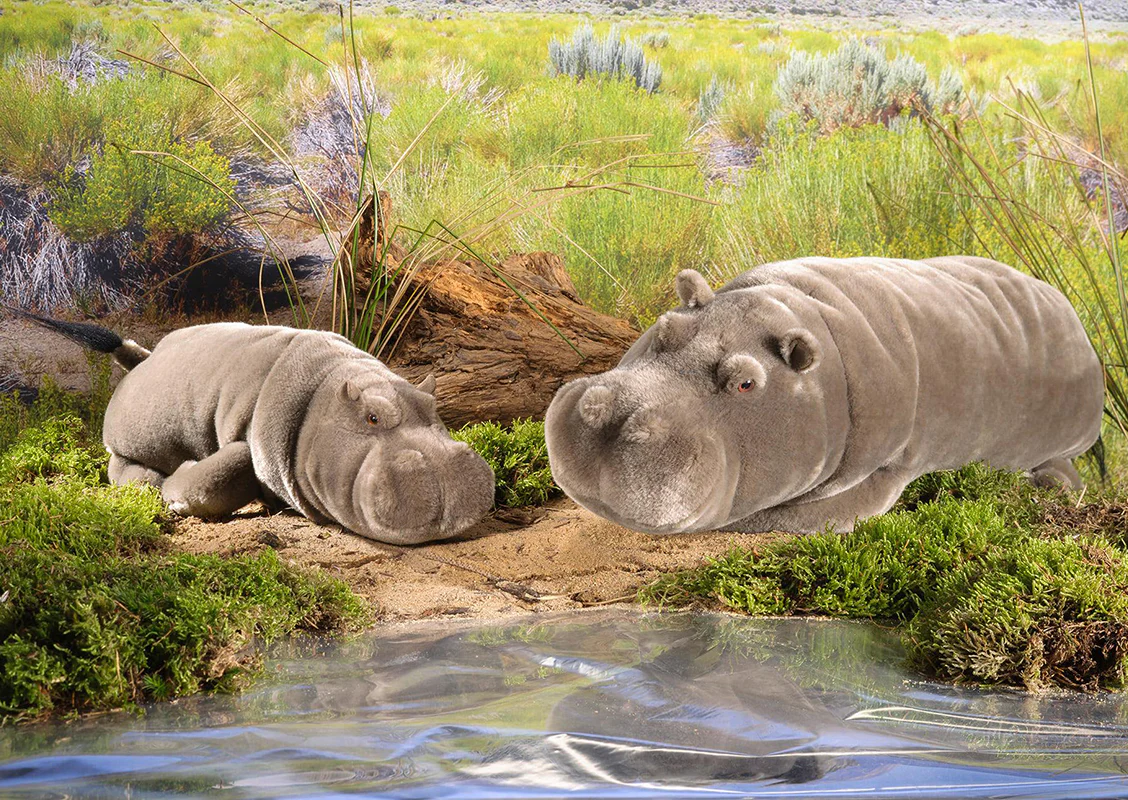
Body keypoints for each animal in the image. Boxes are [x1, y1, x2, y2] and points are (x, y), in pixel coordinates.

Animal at [9, 313, 495, 544]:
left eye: (434, 404)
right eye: (372, 417)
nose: (449, 466)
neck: (327, 390)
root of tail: (143, 357)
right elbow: (218, 473)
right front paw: (175, 493)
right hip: (134, 435)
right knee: (123, 466)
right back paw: (153, 481)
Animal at [545, 256, 1104, 534]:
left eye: (746, 382)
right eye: (663, 328)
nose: (615, 416)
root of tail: (1073, 315)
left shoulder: (884, 466)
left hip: (1061, 442)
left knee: (1064, 470)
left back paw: (1053, 488)